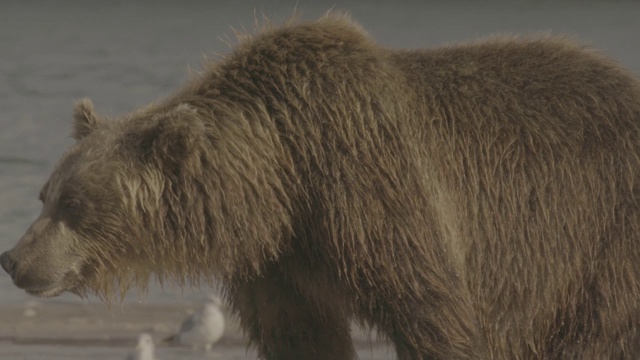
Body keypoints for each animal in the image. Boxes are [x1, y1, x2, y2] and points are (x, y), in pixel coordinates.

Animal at [1, 13, 640, 360]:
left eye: (74, 202)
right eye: (44, 195)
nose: (13, 258)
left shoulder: (376, 188)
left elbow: (434, 312)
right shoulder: (280, 262)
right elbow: (302, 335)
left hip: (598, 241)